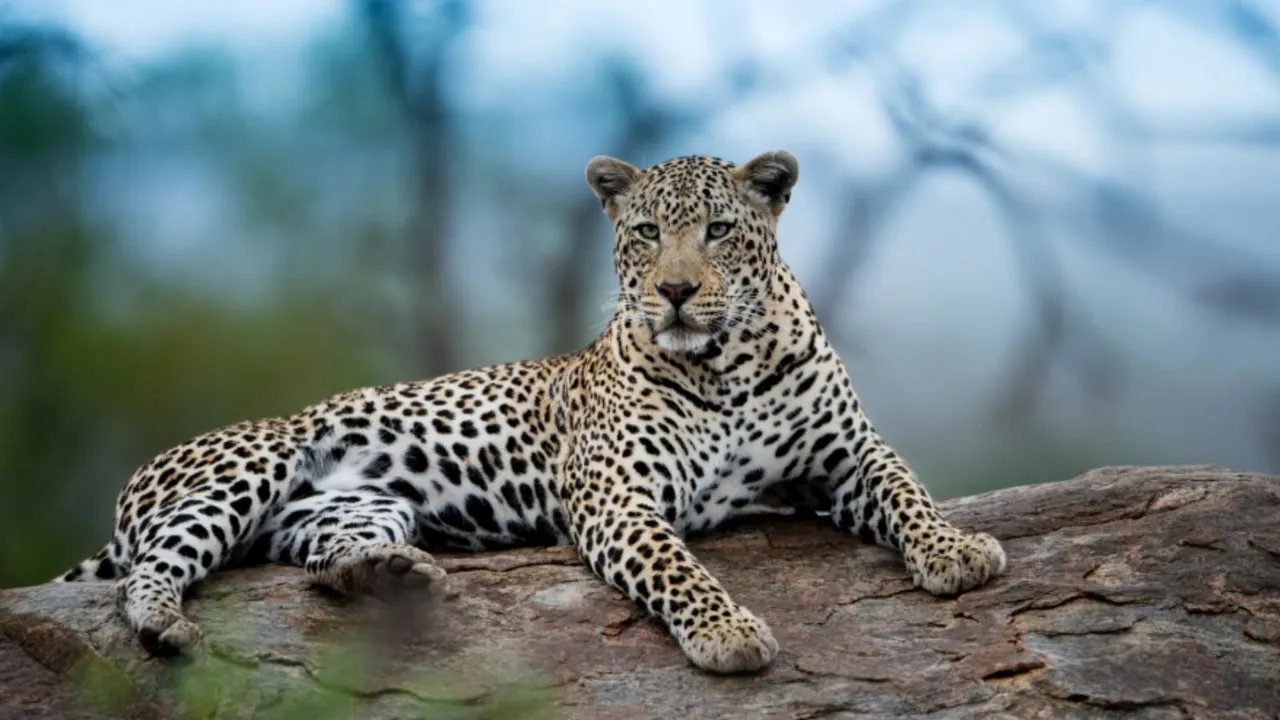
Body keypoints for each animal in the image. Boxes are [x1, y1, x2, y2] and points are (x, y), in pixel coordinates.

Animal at [57, 150, 1006, 674]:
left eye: (719, 230)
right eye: (646, 232)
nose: (674, 291)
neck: (727, 366)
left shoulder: (847, 457)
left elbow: (908, 489)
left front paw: (957, 550)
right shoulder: (619, 496)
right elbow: (678, 567)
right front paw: (728, 630)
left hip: (351, 510)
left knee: (318, 565)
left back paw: (390, 577)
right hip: (251, 466)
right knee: (152, 570)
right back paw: (166, 626)